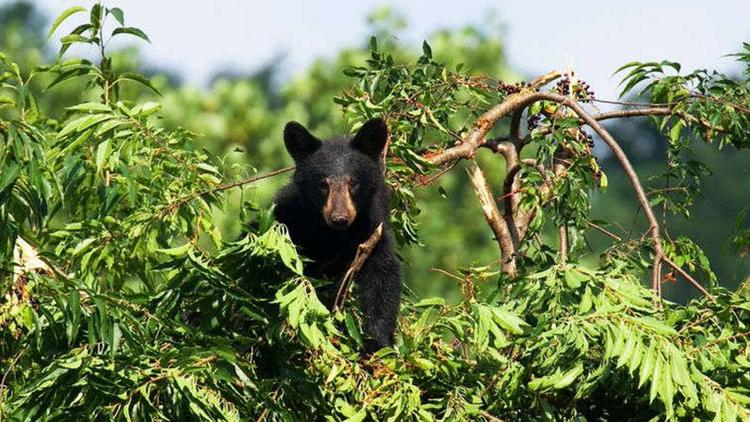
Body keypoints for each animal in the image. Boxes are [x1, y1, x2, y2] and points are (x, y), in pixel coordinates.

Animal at [274, 117, 402, 352]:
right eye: (323, 184)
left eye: (353, 183)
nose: (339, 218)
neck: (334, 235)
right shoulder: (290, 219)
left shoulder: (373, 228)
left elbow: (383, 276)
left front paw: (376, 341)